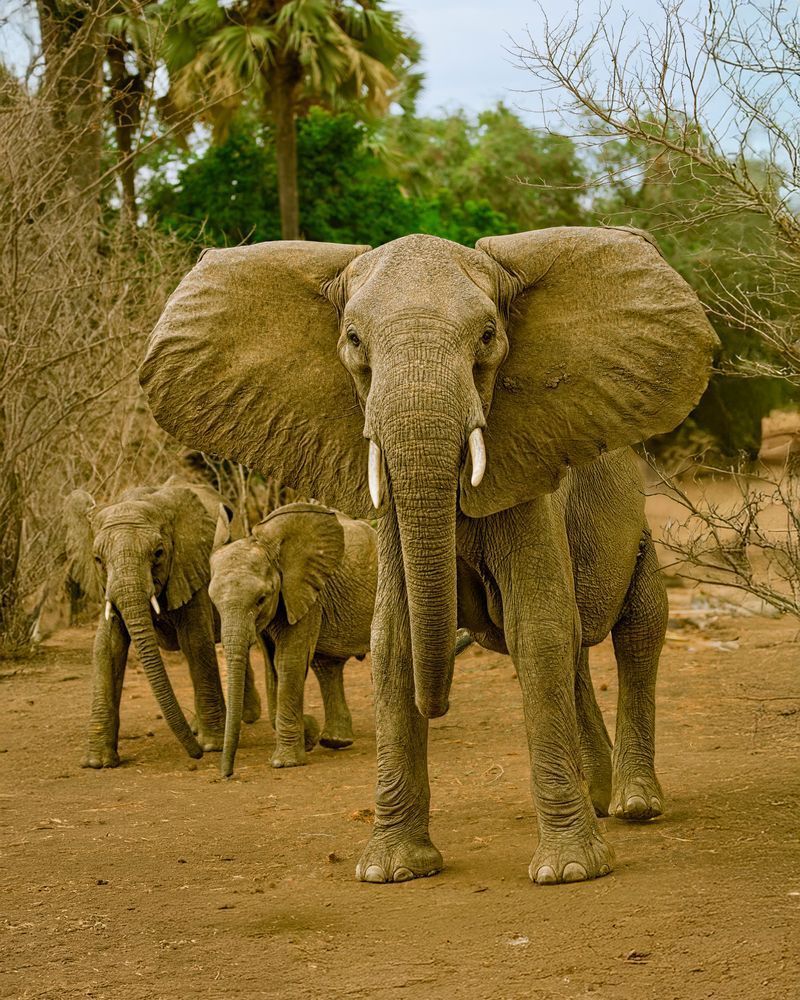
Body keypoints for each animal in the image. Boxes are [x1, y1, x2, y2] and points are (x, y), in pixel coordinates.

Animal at [64, 475, 262, 767]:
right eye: (98, 560)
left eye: (158, 553)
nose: (196, 755)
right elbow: (107, 648)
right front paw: (97, 763)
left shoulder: (190, 564)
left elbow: (195, 641)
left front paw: (212, 745)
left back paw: (245, 718)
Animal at [208, 501, 377, 777]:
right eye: (213, 601)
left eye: (261, 599)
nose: (227, 774)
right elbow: (272, 666)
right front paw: (308, 735)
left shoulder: (304, 592)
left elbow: (288, 661)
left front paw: (285, 762)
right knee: (326, 665)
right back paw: (335, 741)